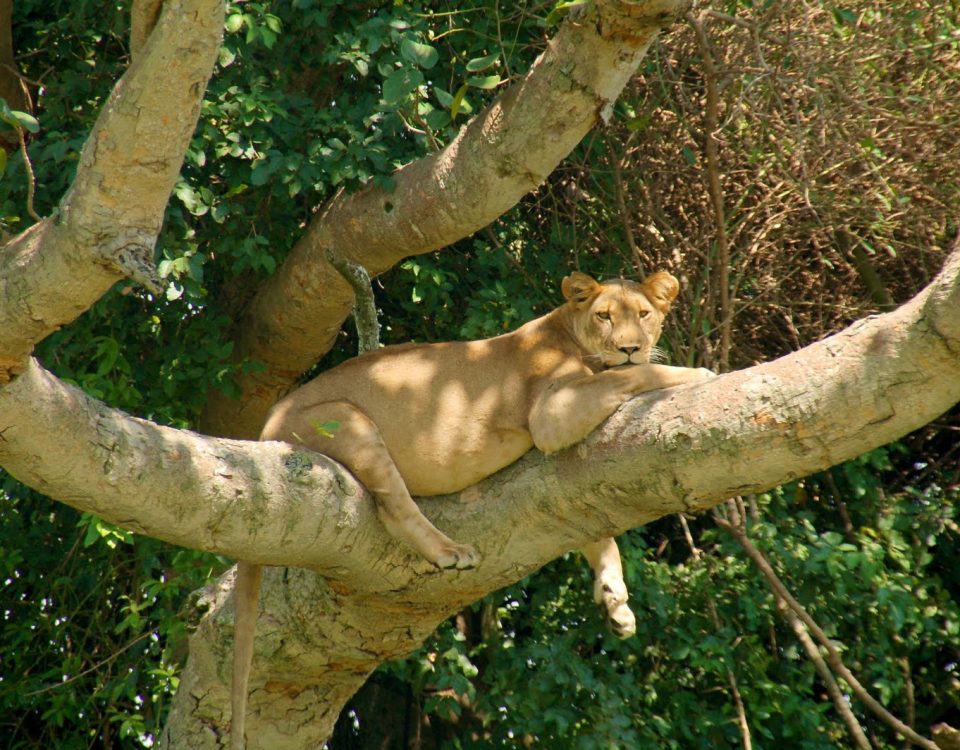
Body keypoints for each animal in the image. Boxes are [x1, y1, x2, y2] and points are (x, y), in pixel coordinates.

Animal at [229, 270, 715, 749]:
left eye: (644, 314)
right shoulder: (551, 412)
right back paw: (449, 552)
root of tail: (267, 424)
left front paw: (616, 601)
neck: (569, 332)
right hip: (347, 420)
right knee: (393, 507)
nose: (629, 348)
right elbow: (631, 377)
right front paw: (696, 371)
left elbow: (597, 532)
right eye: (604, 316)